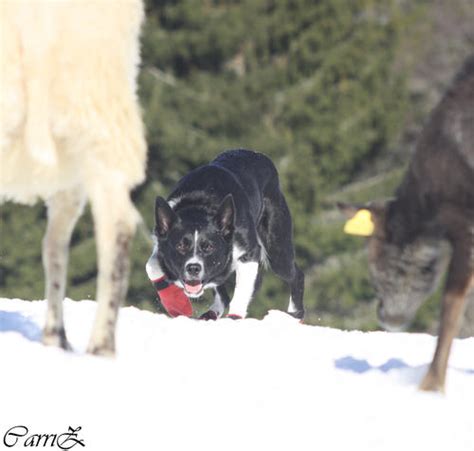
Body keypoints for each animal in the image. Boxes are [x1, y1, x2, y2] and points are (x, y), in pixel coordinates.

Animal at [146, 150, 306, 320]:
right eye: (180, 246)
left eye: (209, 247)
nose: (193, 268)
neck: (199, 205)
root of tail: (261, 156)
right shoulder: (161, 243)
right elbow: (151, 266)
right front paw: (177, 304)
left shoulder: (249, 253)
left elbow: (242, 292)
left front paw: (233, 318)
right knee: (223, 293)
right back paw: (210, 313)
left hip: (276, 250)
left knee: (296, 275)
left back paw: (295, 313)